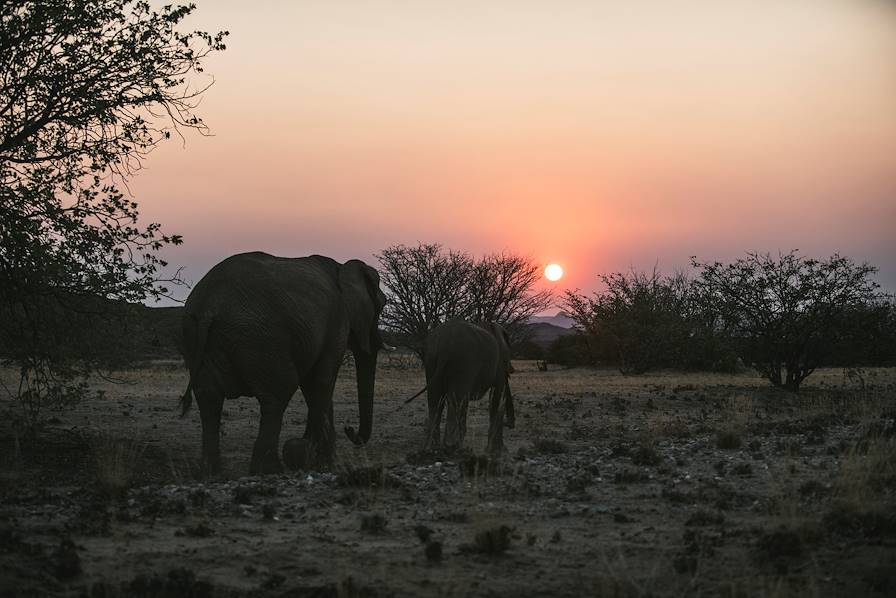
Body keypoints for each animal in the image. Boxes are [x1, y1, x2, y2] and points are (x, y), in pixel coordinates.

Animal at [180, 251, 386, 476]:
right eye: (383, 305)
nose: (349, 429)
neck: (342, 267)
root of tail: (209, 306)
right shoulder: (338, 321)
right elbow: (322, 381)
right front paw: (323, 463)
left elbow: (315, 384)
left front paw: (317, 458)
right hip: (260, 337)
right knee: (279, 393)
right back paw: (270, 470)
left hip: (196, 336)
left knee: (209, 399)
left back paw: (211, 472)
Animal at [424, 318, 516, 454]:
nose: (510, 424)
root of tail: (445, 343)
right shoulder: (499, 364)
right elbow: (497, 396)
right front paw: (497, 451)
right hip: (463, 362)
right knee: (457, 400)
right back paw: (452, 447)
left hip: (431, 359)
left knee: (436, 400)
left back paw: (433, 448)